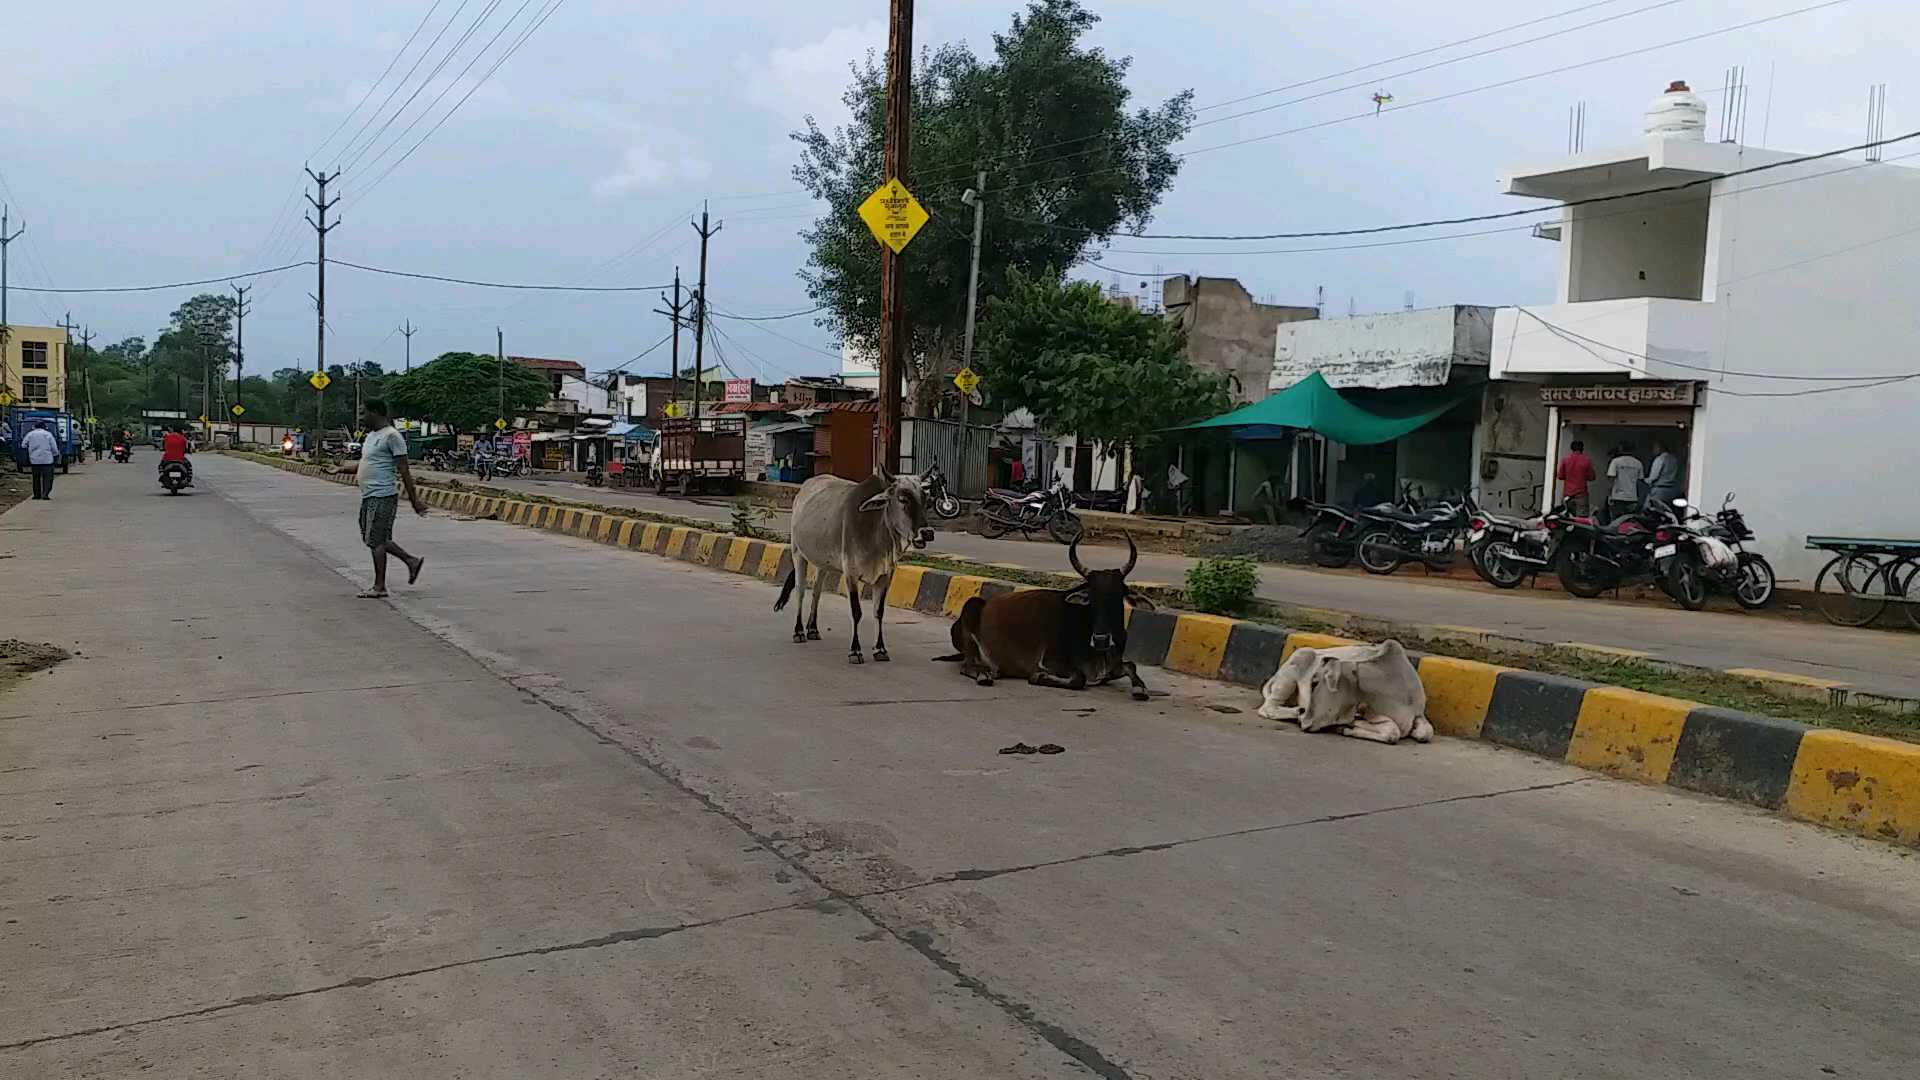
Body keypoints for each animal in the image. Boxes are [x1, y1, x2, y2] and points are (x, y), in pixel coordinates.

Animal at [1251, 634, 1436, 745]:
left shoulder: (1419, 714)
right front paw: (1347, 726)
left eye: (1315, 683)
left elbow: (1424, 733)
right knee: (1268, 707)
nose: (1304, 723)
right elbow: (1393, 731)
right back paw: (1296, 711)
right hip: (1297, 661)